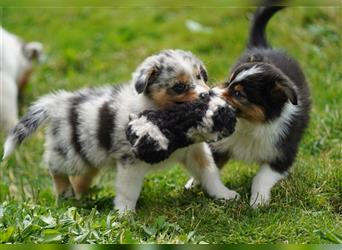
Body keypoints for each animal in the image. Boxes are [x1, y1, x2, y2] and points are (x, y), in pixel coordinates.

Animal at [3, 49, 238, 214]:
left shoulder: (195, 151)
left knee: (81, 178)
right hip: (71, 153)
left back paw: (82, 197)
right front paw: (124, 214)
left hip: (89, 157)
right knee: (54, 167)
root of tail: (57, 104)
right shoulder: (130, 160)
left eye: (201, 77)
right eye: (179, 86)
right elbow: (128, 190)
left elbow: (210, 173)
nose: (207, 95)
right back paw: (65, 192)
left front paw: (224, 195)